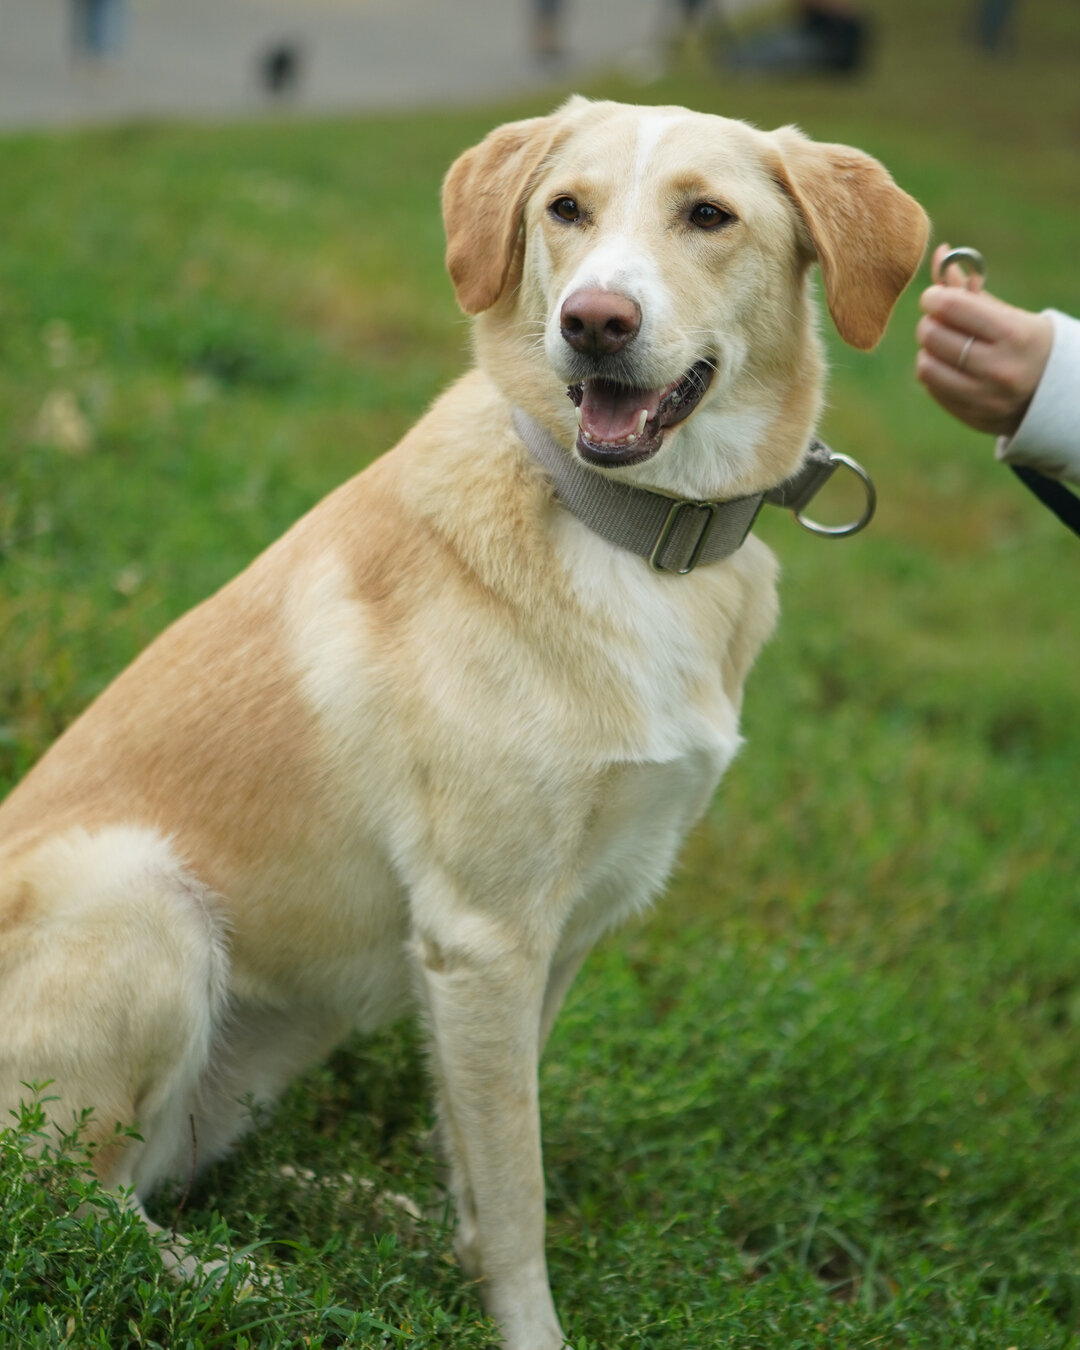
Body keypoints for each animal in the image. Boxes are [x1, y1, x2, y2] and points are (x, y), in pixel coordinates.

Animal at [0, 97, 928, 1350]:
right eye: (566, 209)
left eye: (709, 215)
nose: (594, 322)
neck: (637, 533)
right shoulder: (485, 935)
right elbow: (517, 1186)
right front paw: (525, 1328)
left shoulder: (560, 934)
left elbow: (487, 1150)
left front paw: (451, 1239)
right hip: (144, 900)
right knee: (71, 1205)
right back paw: (265, 1285)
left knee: (171, 1167)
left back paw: (347, 1211)